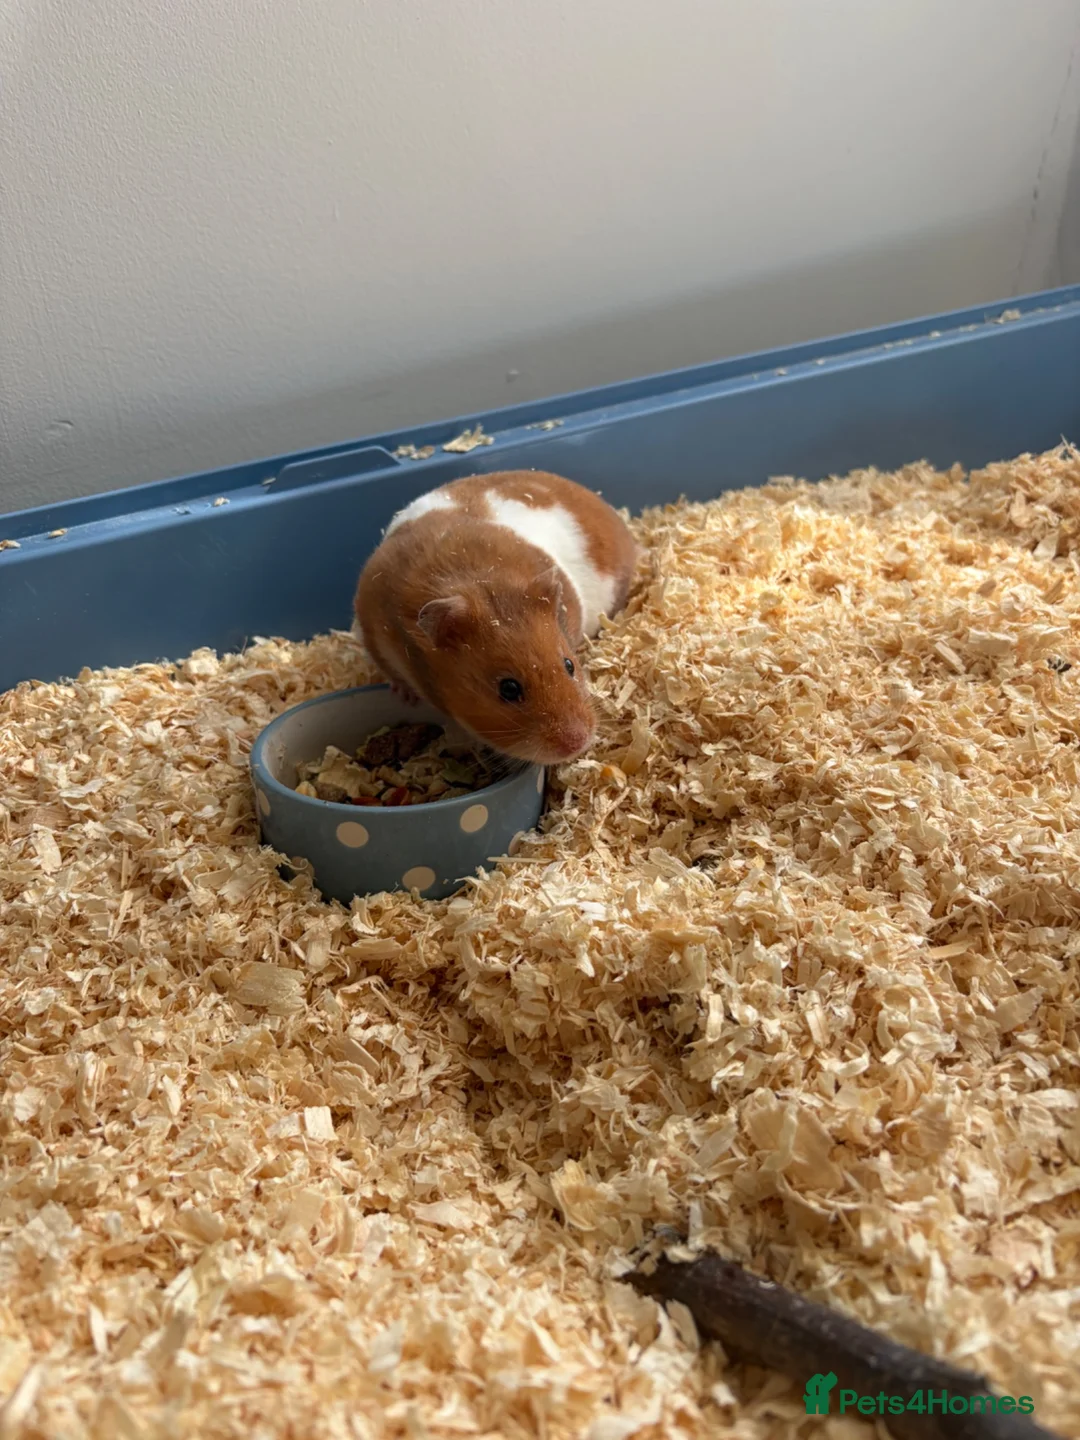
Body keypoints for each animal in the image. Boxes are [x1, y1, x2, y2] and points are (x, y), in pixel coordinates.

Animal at [353, 470, 638, 766]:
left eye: (569, 665)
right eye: (508, 688)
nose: (578, 743)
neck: (478, 581)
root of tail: (607, 508)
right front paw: (405, 696)